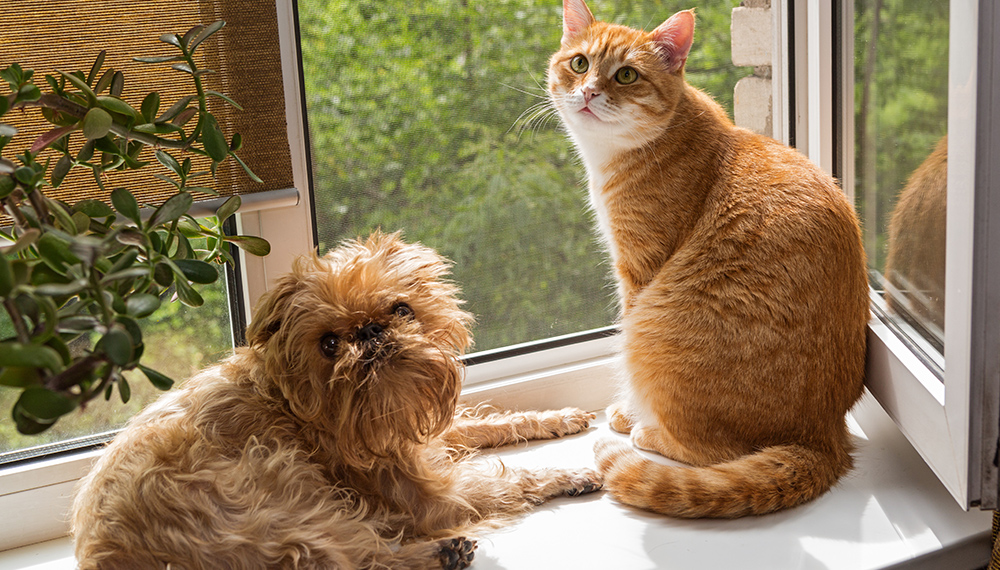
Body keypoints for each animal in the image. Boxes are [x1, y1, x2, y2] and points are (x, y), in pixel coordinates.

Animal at [72, 232, 600, 568]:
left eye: (401, 310)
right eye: (328, 344)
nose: (369, 332)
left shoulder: (418, 435)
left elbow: (489, 422)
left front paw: (561, 417)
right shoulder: (430, 497)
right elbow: (509, 479)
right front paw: (569, 474)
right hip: (282, 495)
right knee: (358, 559)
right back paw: (438, 554)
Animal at [552, 0, 872, 516]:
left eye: (626, 75)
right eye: (579, 64)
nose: (588, 92)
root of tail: (822, 436)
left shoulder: (637, 271)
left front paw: (629, 412)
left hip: (651, 328)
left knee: (711, 451)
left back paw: (647, 431)